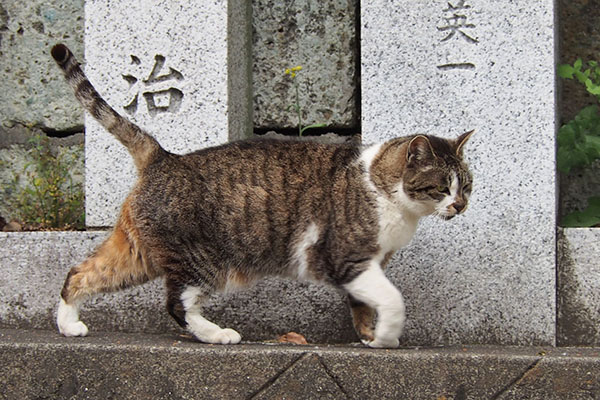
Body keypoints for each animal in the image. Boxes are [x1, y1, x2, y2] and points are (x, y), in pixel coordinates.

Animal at [51, 43, 474, 348]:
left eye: (467, 185)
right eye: (442, 186)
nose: (459, 205)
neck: (386, 192)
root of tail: (163, 156)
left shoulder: (367, 264)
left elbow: (364, 305)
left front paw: (370, 336)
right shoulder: (344, 258)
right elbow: (392, 299)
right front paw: (387, 337)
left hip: (137, 254)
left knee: (81, 273)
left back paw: (69, 324)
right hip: (200, 258)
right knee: (176, 303)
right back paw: (218, 334)